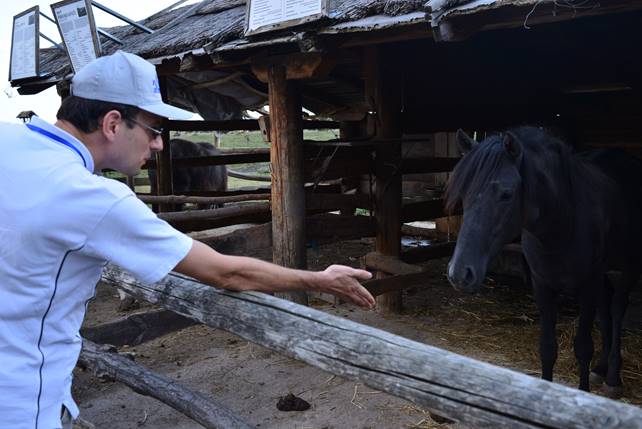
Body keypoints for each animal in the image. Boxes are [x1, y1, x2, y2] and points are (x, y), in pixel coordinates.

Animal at [444, 127, 640, 394]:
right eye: (464, 193)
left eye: (506, 194)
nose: (459, 273)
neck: (564, 221)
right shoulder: (543, 287)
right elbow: (547, 349)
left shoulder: (587, 286)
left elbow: (583, 347)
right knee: (607, 308)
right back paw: (601, 369)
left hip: (626, 268)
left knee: (618, 309)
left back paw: (612, 377)